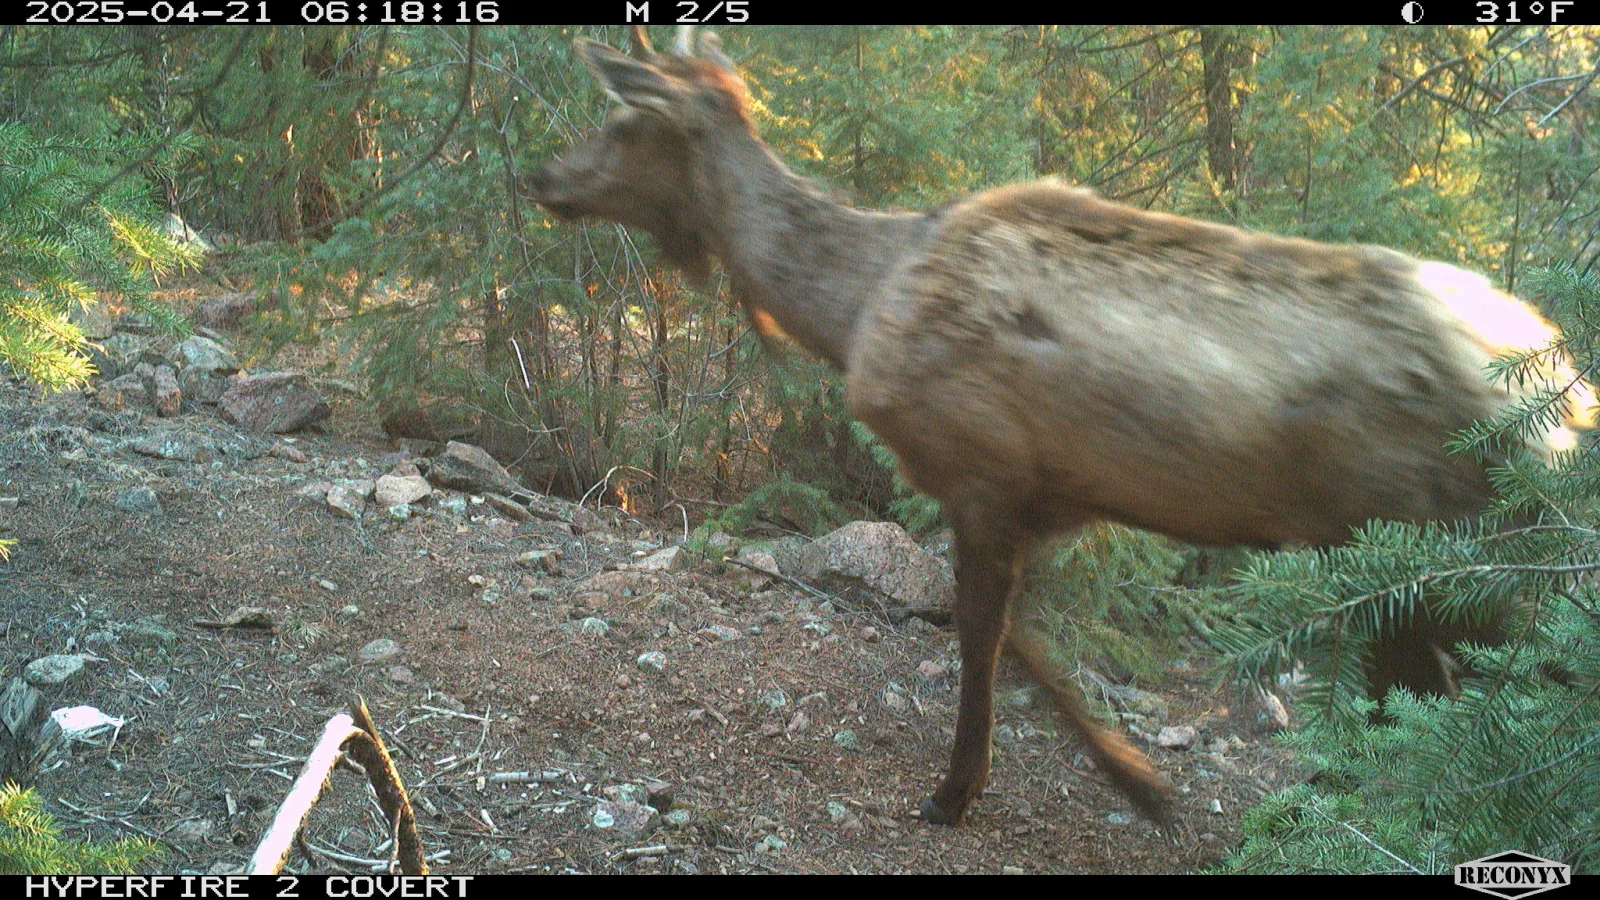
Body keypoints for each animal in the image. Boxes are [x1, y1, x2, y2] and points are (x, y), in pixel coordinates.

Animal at [527, 26, 1596, 827]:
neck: (854, 309)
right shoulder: (1052, 493)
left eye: (621, 119)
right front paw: (1138, 780)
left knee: (1461, 696)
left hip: (1432, 539)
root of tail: (1550, 381)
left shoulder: (978, 465)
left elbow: (978, 632)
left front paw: (957, 792)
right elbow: (1023, 639)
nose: (542, 176)